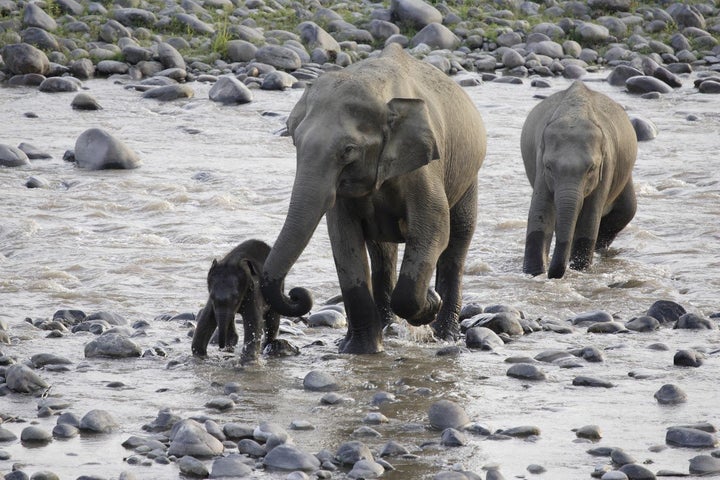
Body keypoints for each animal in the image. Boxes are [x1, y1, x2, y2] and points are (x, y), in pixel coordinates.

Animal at [258, 44, 484, 352]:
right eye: (295, 141)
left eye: (348, 150)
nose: (296, 293)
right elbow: (344, 239)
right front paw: (359, 350)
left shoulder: (424, 165)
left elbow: (435, 226)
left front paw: (429, 303)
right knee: (382, 254)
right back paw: (388, 328)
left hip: (467, 175)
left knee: (458, 240)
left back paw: (445, 334)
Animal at [520, 81, 640, 280]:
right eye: (549, 167)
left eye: (591, 169)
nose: (552, 275)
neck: (575, 112)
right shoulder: (539, 162)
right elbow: (541, 210)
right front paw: (533, 273)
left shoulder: (607, 164)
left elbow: (589, 218)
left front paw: (579, 270)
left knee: (625, 211)